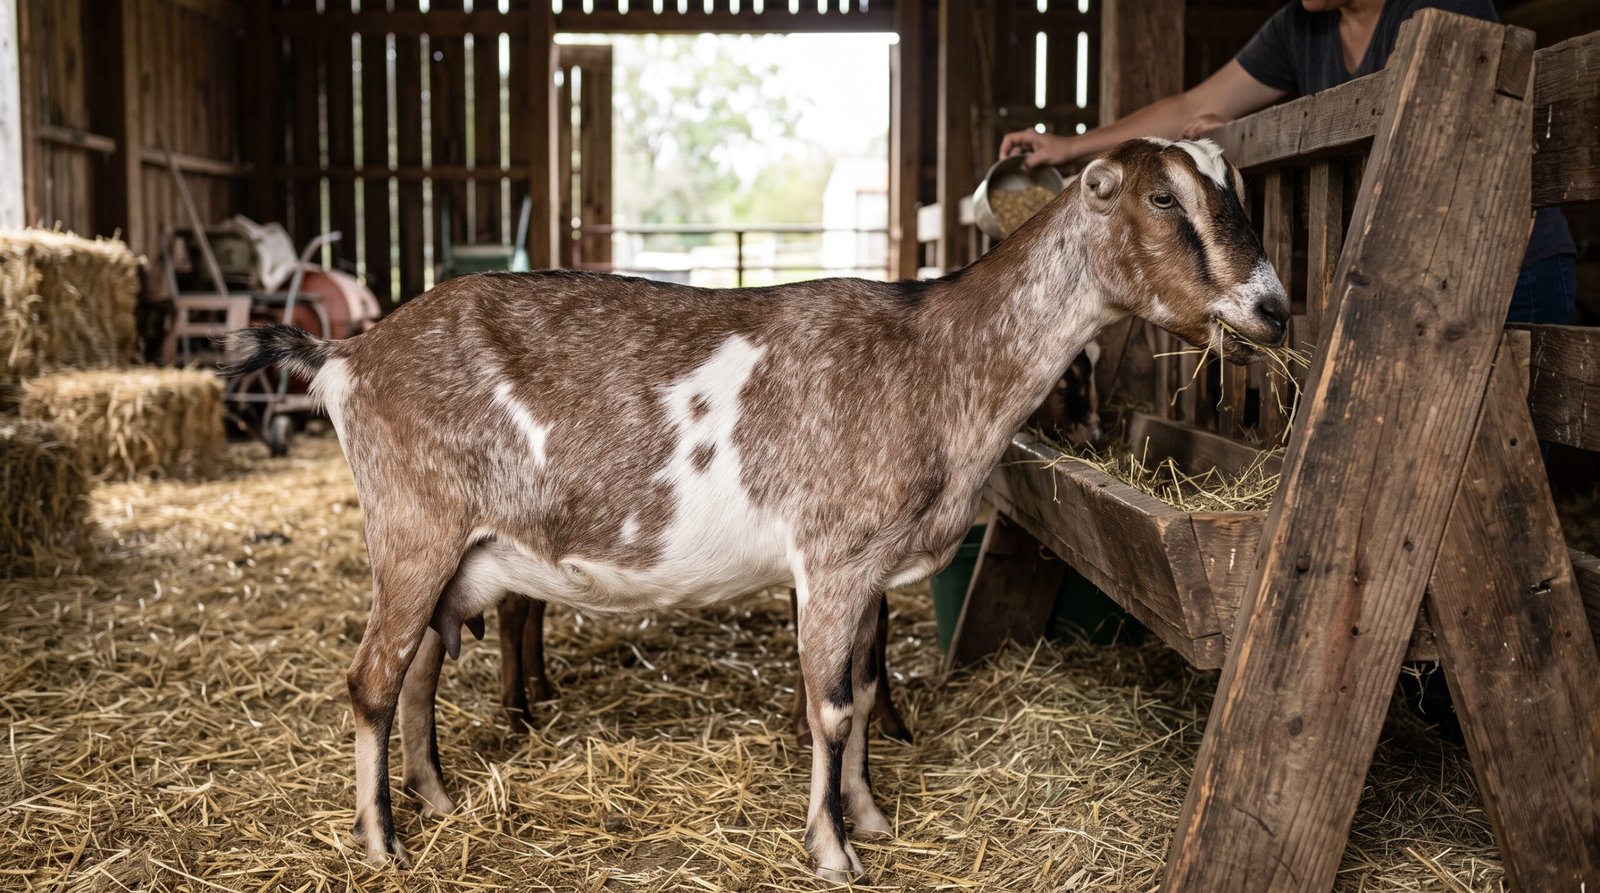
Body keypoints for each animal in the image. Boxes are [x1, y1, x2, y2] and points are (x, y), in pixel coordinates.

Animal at [225, 137, 1286, 881]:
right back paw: (381, 841)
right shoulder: (831, 557)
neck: (935, 356)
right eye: (1163, 197)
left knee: (417, 672)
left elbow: (865, 688)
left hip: (459, 555)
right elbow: (828, 703)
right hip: (413, 529)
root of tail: (348, 354)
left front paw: (871, 815)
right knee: (370, 677)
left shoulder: (870, 571)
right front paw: (833, 850)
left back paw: (438, 800)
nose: (1273, 307)